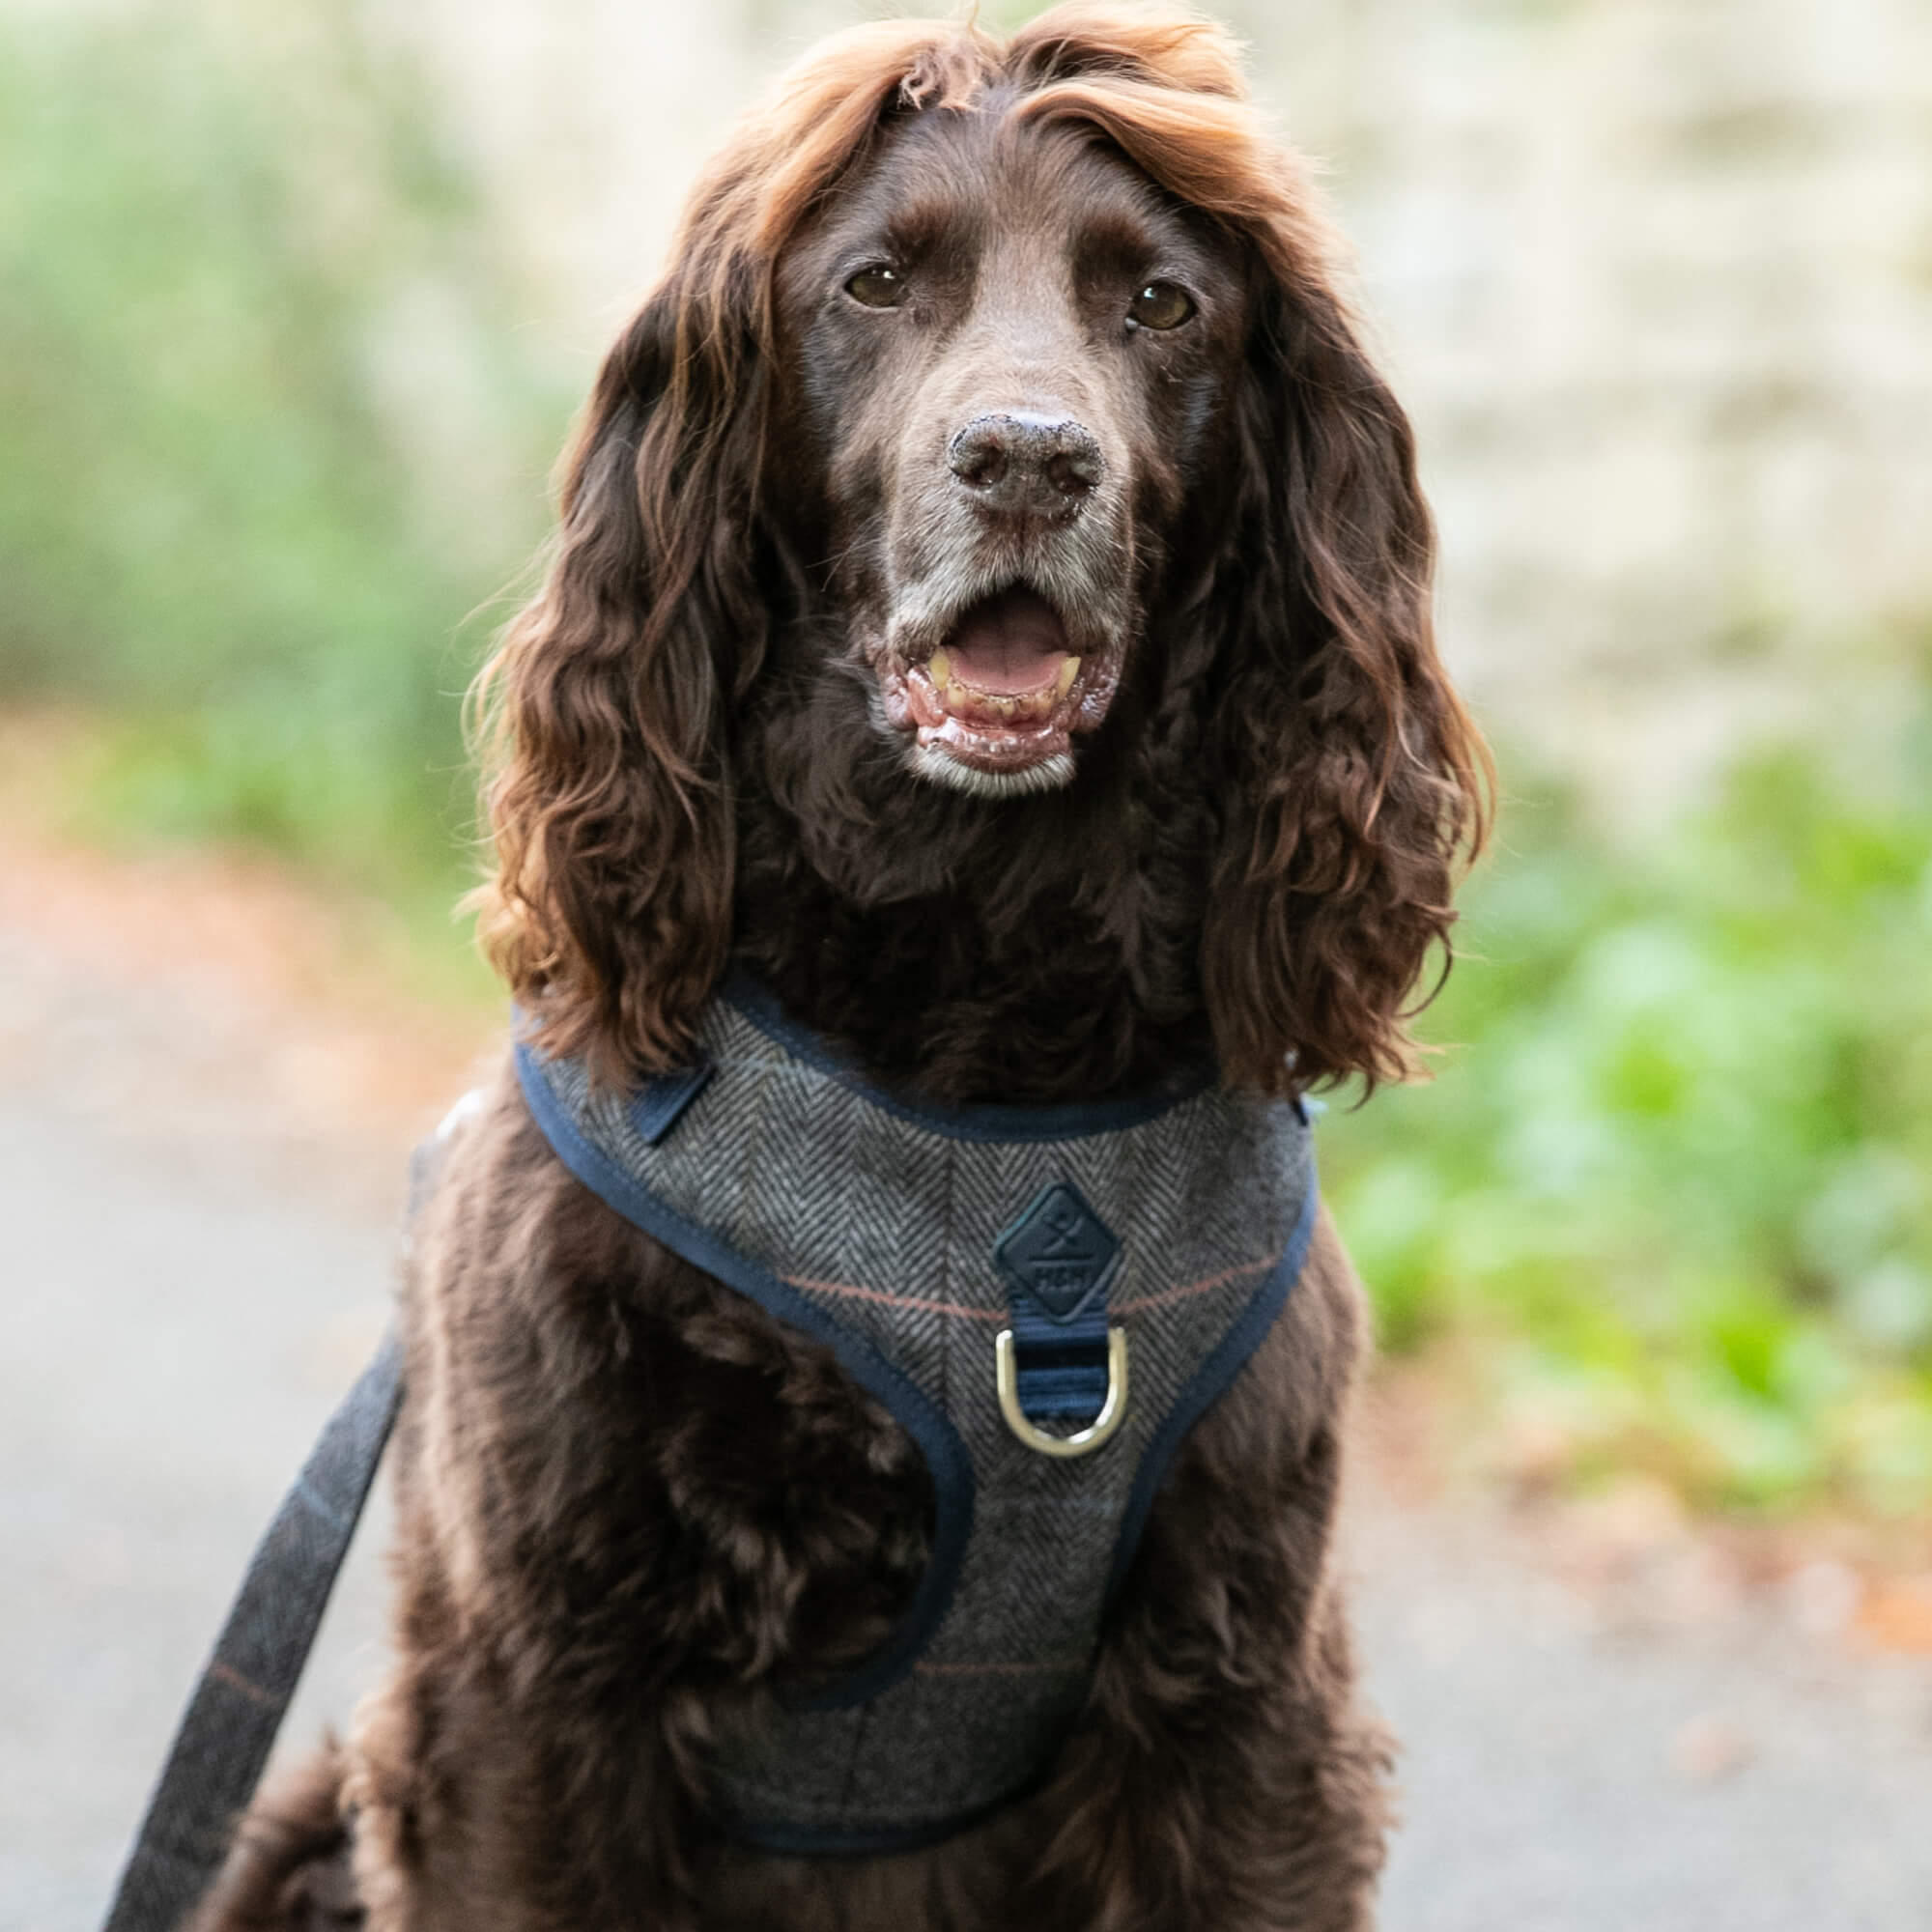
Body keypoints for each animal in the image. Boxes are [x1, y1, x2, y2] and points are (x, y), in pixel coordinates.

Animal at [196, 14, 1484, 1932]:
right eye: (875, 283)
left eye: (1161, 303)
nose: (1028, 460)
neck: (973, 996)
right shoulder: (527, 1691)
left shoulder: (1238, 1694)